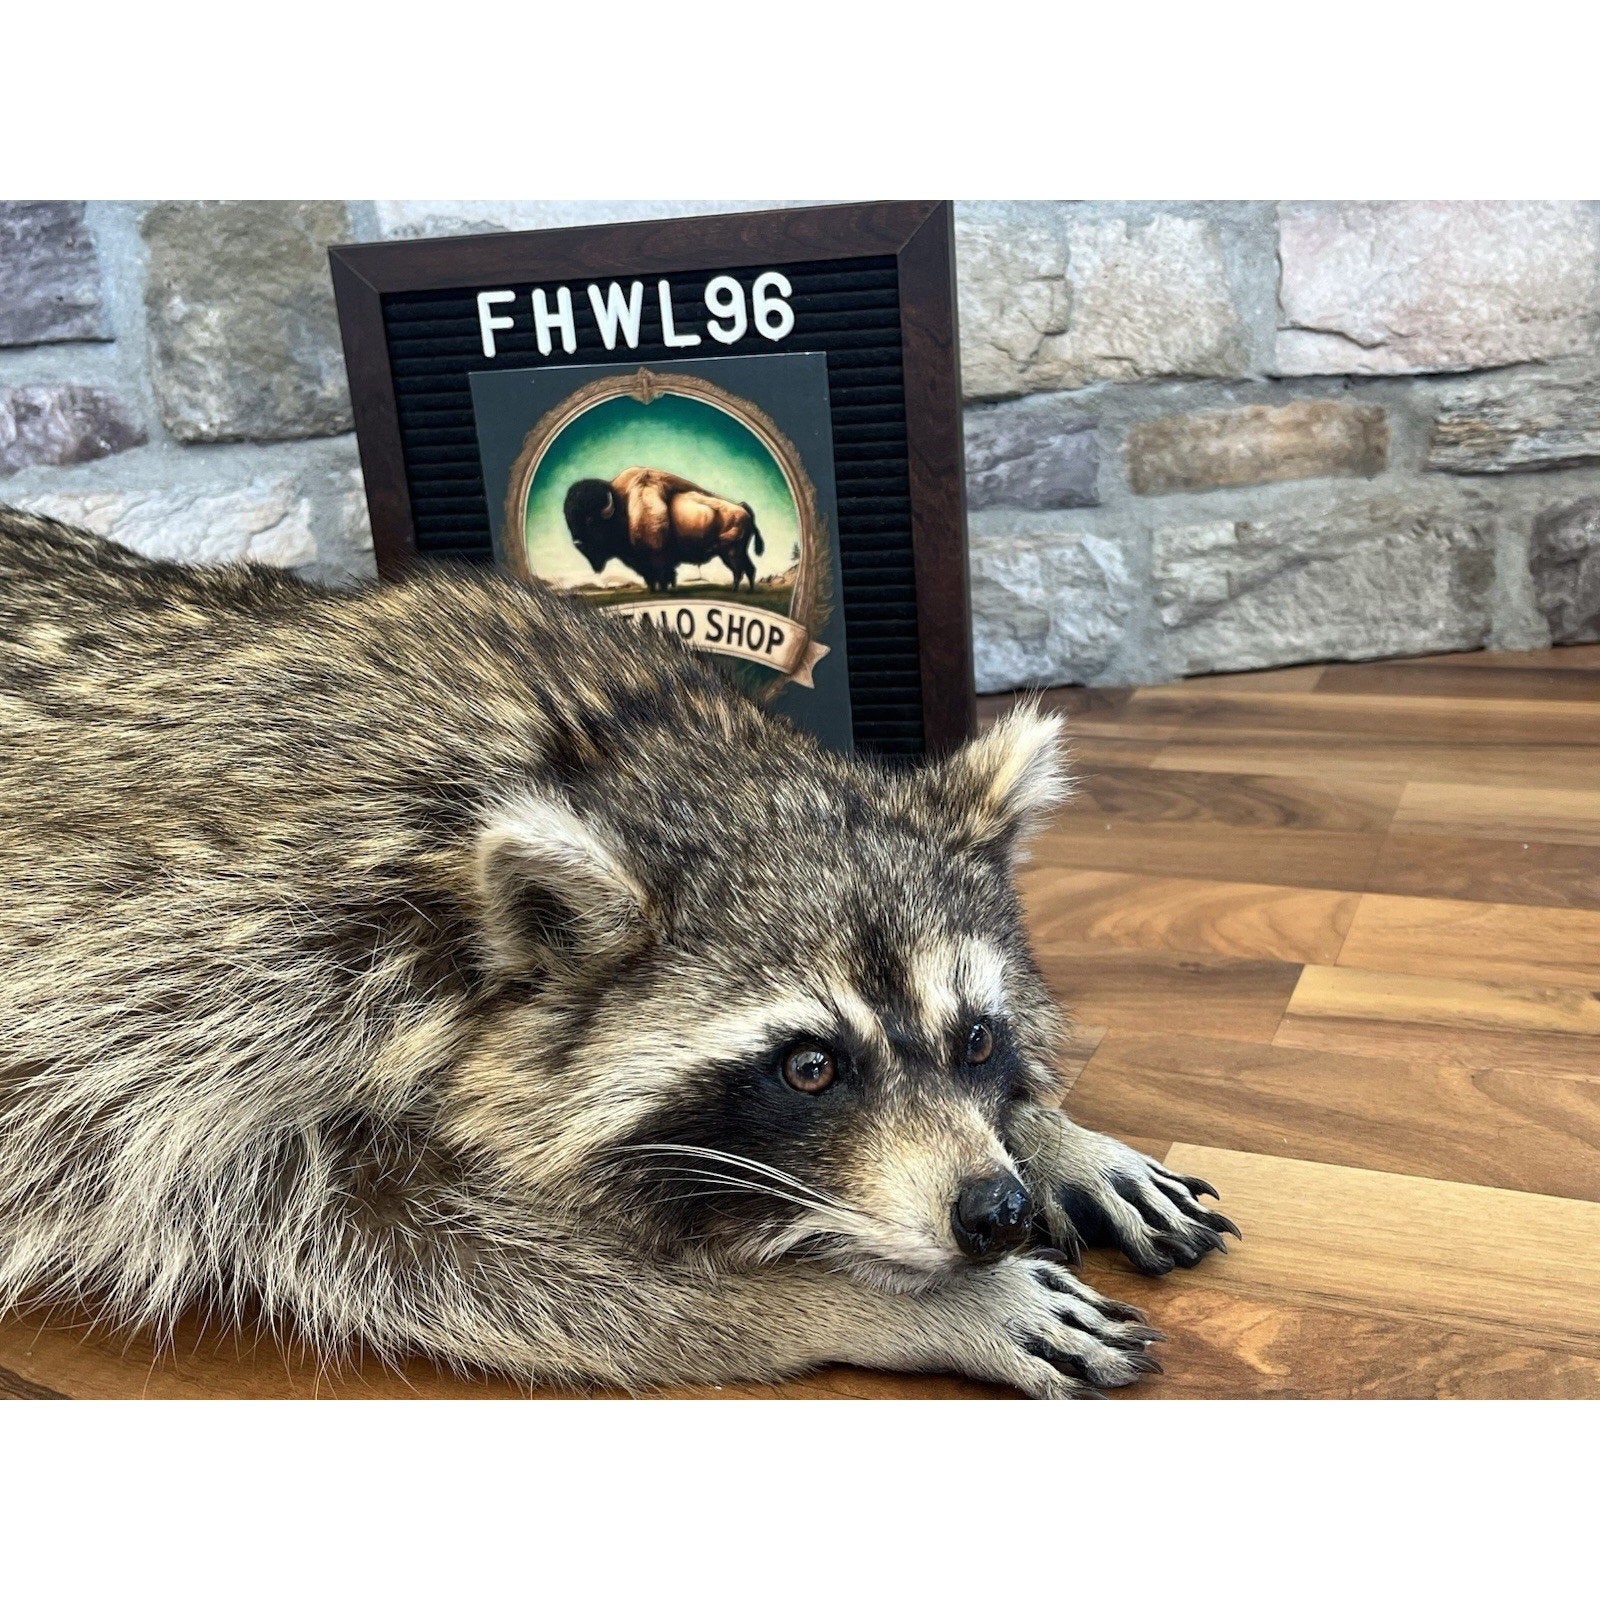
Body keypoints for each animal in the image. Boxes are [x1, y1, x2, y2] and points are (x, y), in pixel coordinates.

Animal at [0, 506, 1236, 1398]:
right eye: (809, 1066)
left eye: (976, 1039)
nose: (992, 1212)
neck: (622, 750)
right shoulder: (220, 983)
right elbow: (365, 1237)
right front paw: (871, 1300)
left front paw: (1046, 1131)